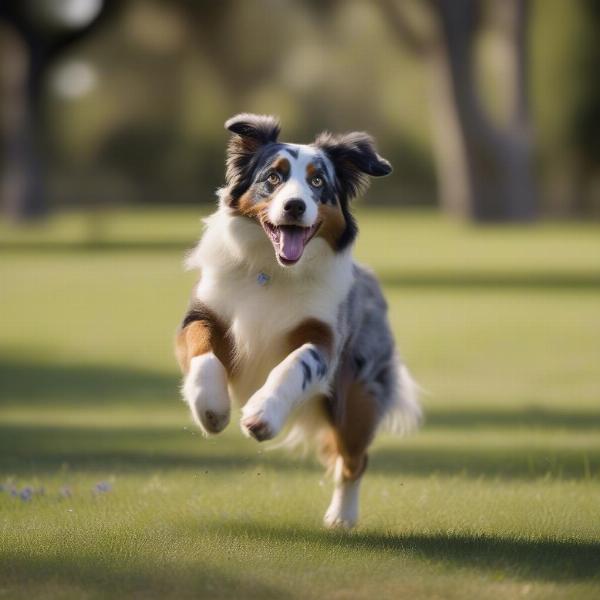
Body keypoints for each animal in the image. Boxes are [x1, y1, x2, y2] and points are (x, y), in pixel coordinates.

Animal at [175, 115, 422, 528]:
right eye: (273, 177)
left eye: (318, 181)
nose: (294, 206)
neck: (272, 271)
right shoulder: (204, 313)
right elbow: (201, 350)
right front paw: (211, 408)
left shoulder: (323, 336)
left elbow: (294, 366)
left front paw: (262, 414)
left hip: (357, 397)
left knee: (353, 460)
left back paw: (342, 516)